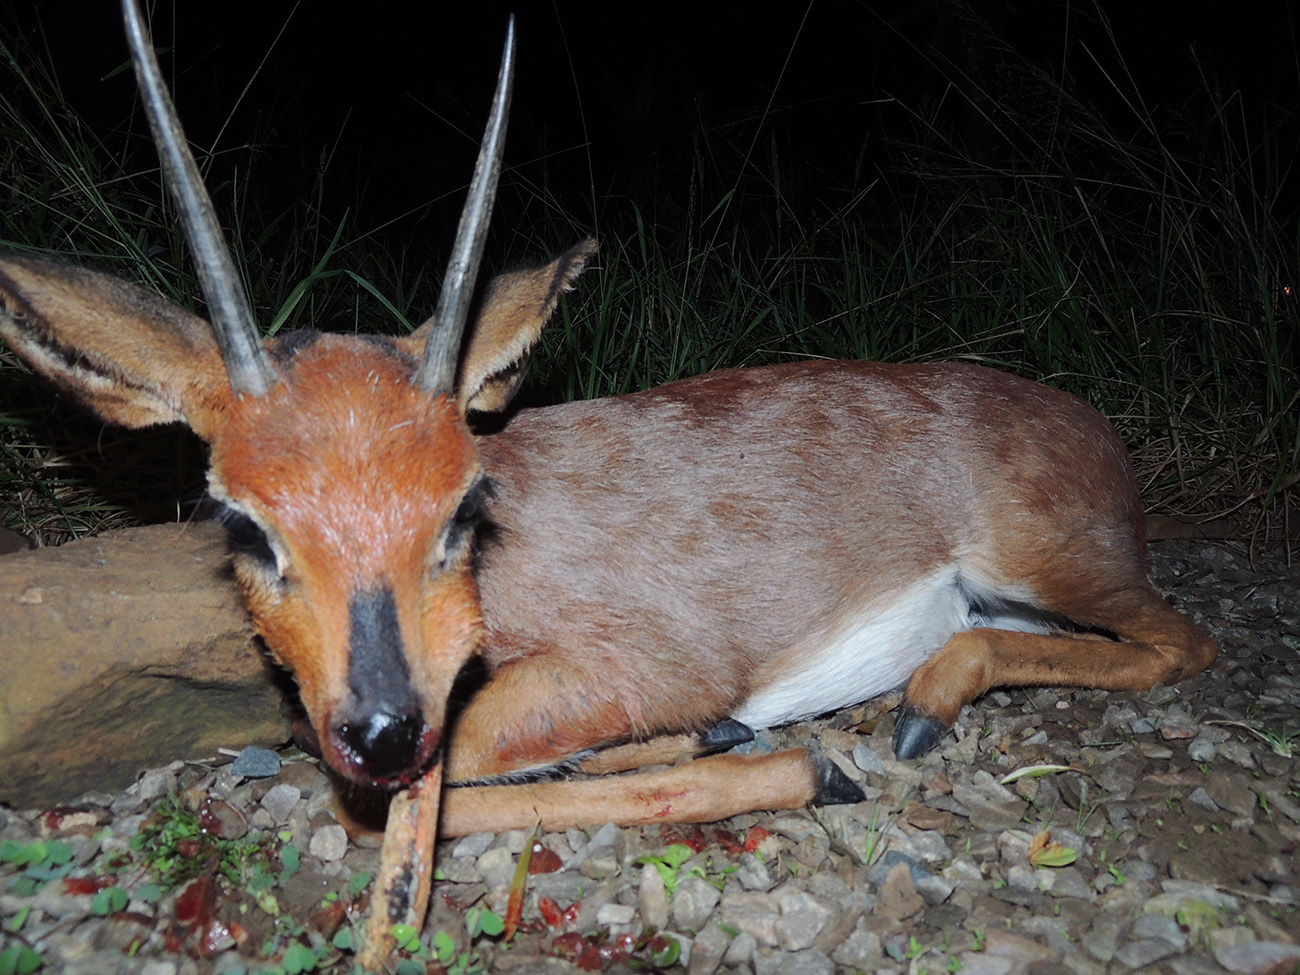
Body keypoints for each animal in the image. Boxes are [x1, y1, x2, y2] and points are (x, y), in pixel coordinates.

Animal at [2, 0, 1216, 961]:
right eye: (243, 520)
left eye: (464, 504)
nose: (385, 729)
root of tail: (1092, 428)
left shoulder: (639, 665)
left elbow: (401, 797)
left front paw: (805, 767)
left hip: (1048, 564)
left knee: (1180, 641)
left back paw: (918, 708)